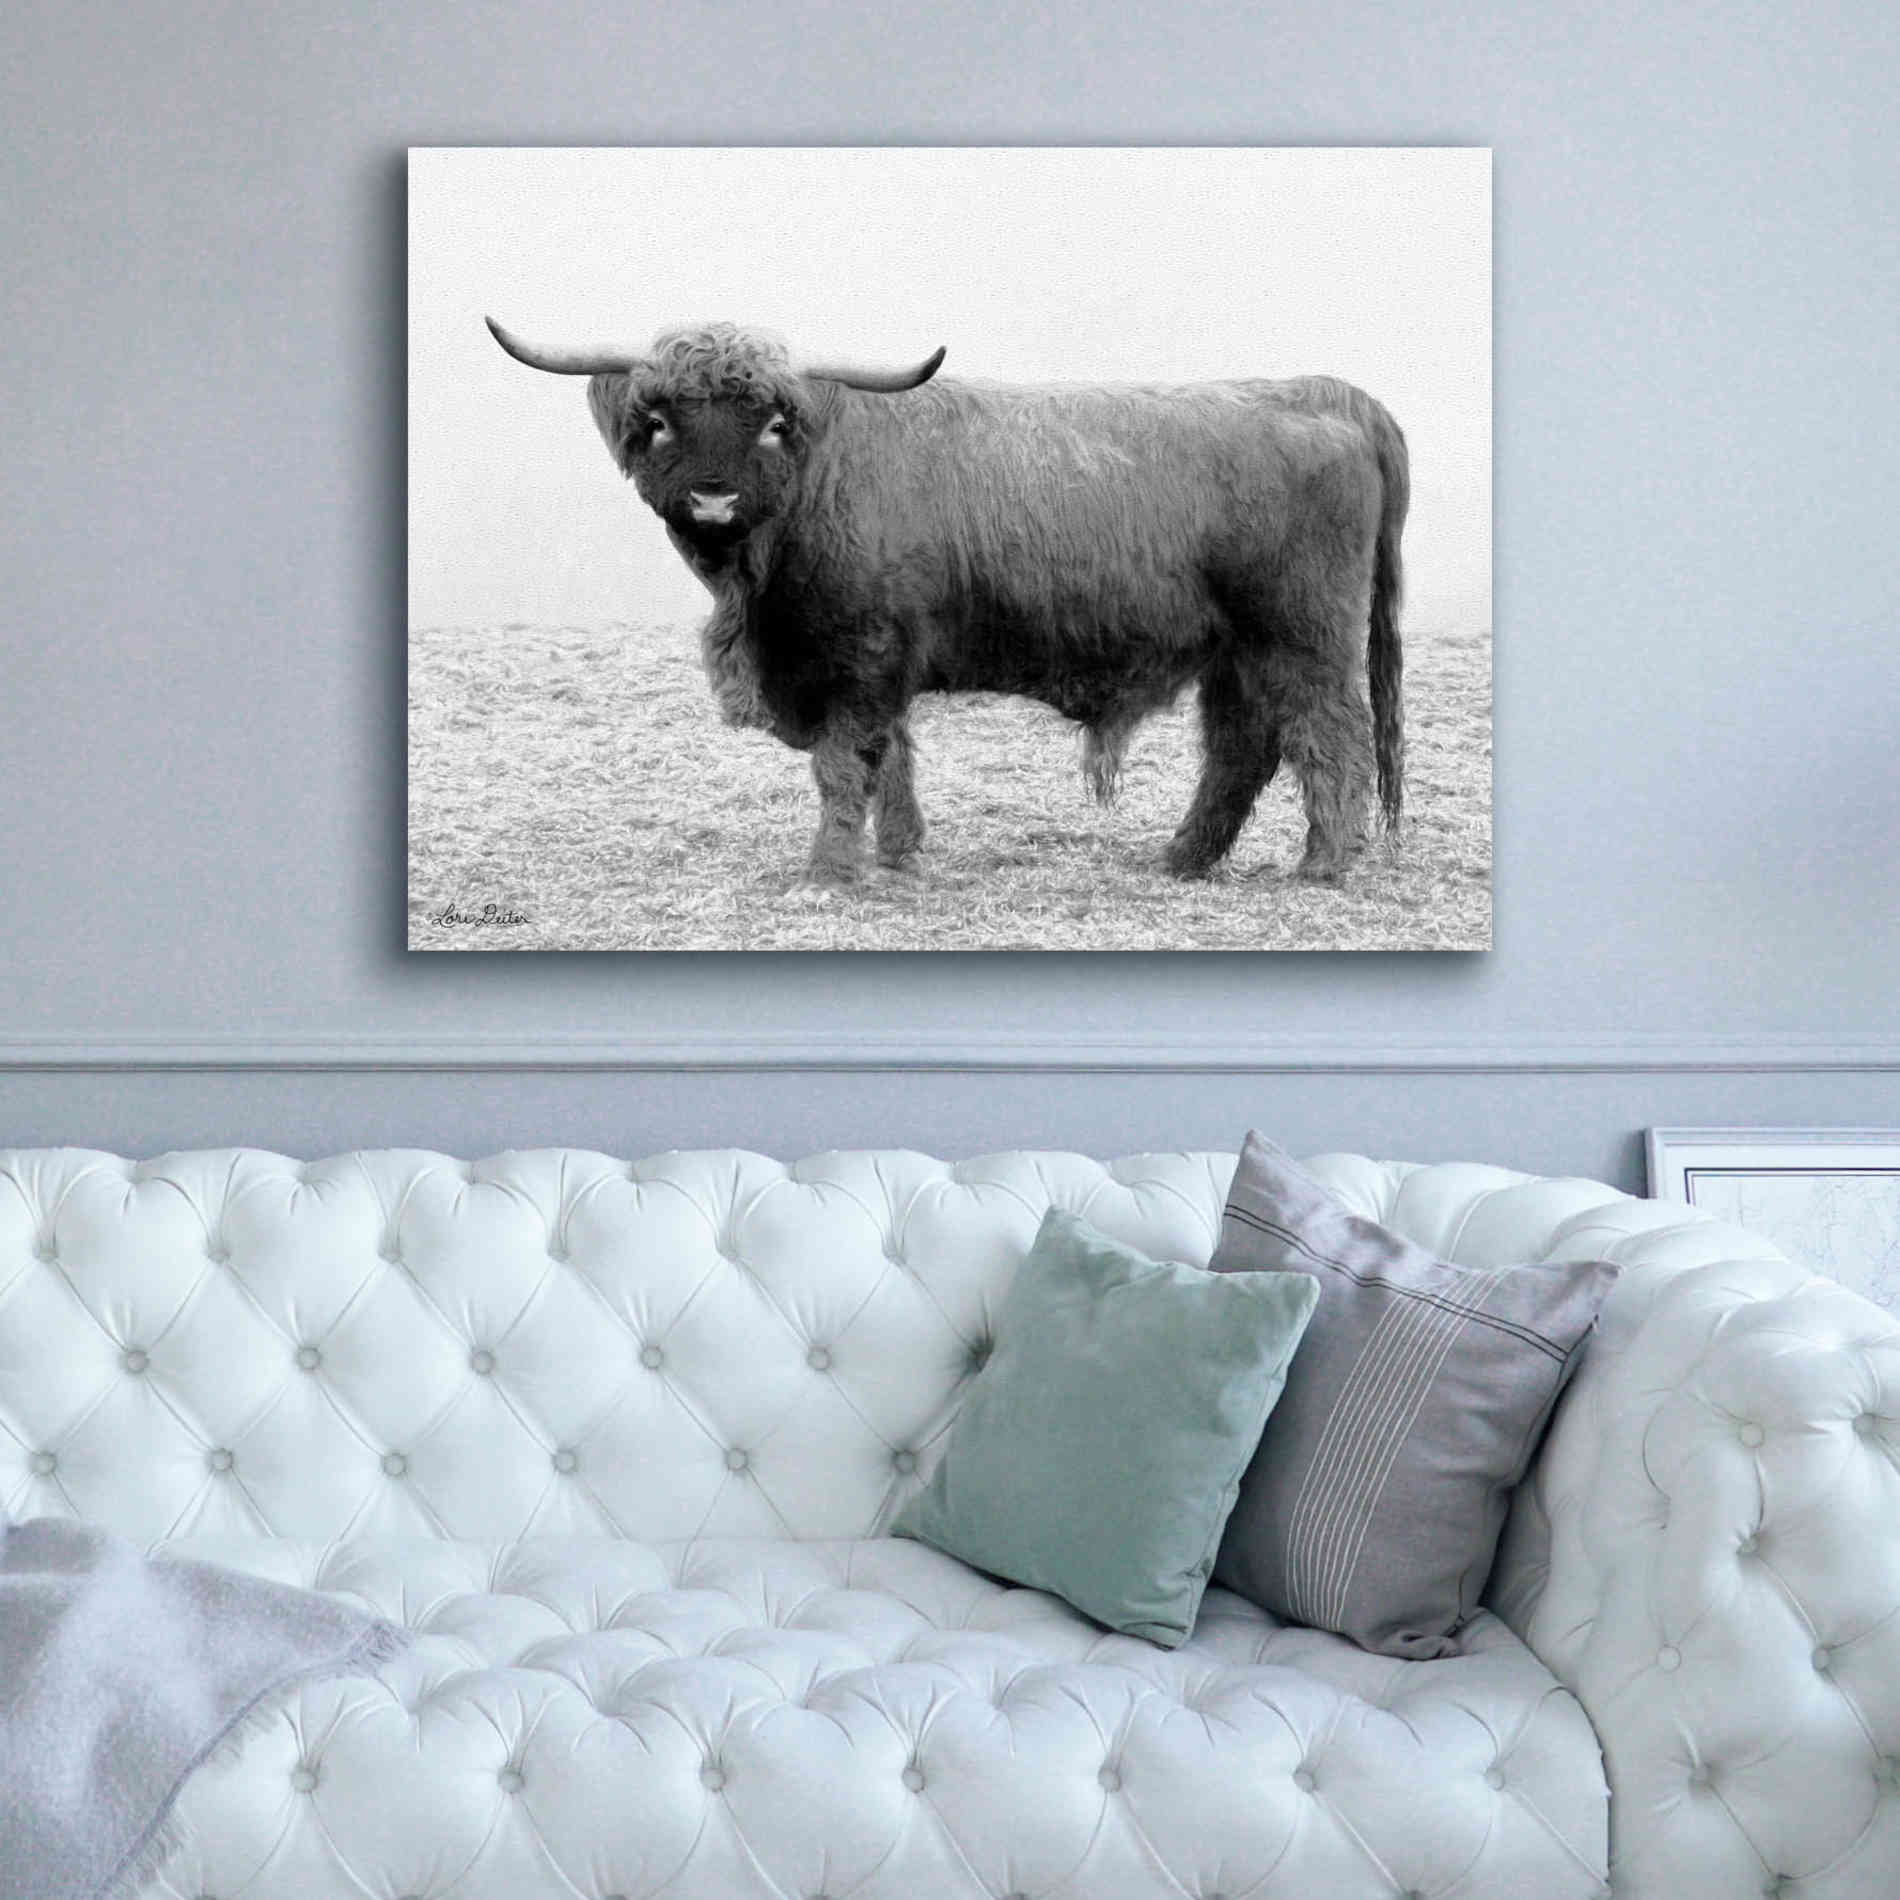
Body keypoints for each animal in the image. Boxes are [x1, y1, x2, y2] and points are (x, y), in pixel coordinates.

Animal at [486, 317, 1408, 888]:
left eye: (774, 423)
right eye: (662, 421)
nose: (713, 500)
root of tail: (1321, 391)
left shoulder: (856, 660)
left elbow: (845, 764)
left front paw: (831, 872)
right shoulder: (882, 662)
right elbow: (892, 757)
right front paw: (899, 855)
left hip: (1302, 637)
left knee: (1332, 737)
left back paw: (1324, 865)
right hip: (1236, 652)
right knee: (1241, 750)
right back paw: (1183, 859)